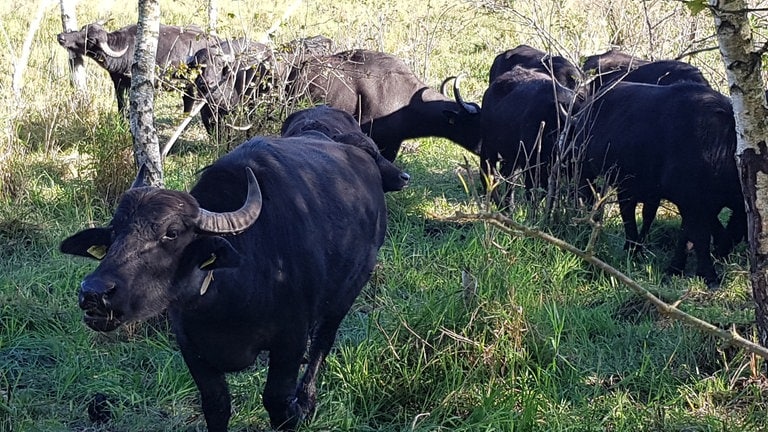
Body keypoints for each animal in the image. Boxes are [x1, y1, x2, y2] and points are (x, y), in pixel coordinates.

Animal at [56, 21, 214, 113]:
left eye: (90, 39)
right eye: (83, 29)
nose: (61, 37)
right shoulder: (118, 84)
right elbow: (121, 106)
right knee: (188, 100)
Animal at [59, 114, 396, 428]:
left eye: (172, 233)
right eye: (115, 231)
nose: (94, 293)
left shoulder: (289, 340)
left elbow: (276, 401)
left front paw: (295, 410)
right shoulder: (191, 347)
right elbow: (216, 405)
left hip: (345, 295)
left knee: (322, 344)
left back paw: (306, 400)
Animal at [580, 82, 740, 288]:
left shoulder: (698, 205)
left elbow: (687, 234)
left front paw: (675, 268)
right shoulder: (692, 202)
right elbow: (700, 237)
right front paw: (710, 275)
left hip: (633, 187)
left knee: (636, 213)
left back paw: (634, 249)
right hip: (585, 171)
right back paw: (631, 250)